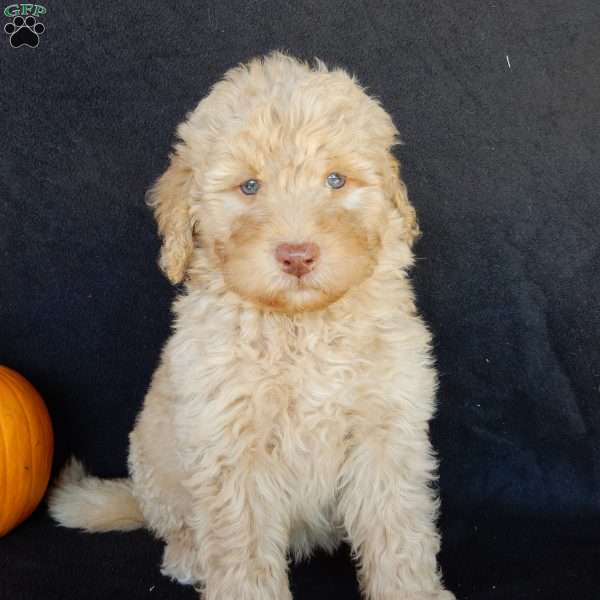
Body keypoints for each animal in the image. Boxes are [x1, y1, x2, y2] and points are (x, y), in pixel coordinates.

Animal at [50, 51, 454, 600]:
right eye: (249, 187)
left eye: (335, 180)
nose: (297, 255)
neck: (302, 327)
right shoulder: (231, 451)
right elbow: (240, 549)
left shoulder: (386, 430)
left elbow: (399, 530)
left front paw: (412, 591)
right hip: (158, 469)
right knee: (178, 527)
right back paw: (188, 557)